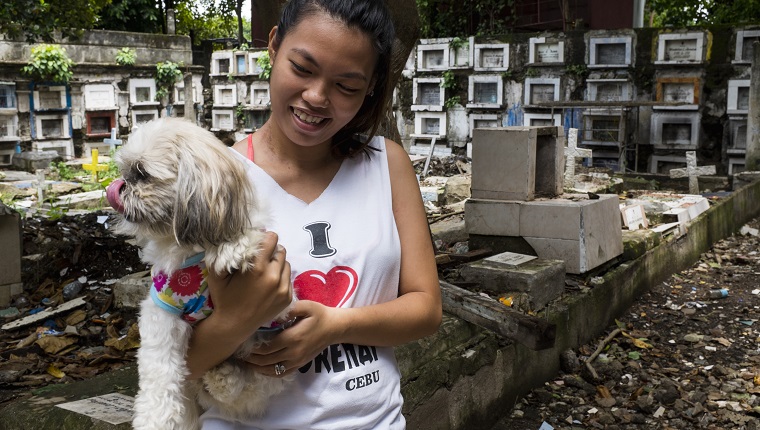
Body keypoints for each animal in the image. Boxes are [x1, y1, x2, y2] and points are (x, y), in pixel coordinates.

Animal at [106, 117, 294, 430]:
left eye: (141, 173)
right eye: (124, 172)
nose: (119, 187)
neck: (192, 248)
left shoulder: (277, 310)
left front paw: (234, 248)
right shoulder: (163, 310)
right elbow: (159, 370)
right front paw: (154, 418)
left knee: (251, 389)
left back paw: (224, 377)